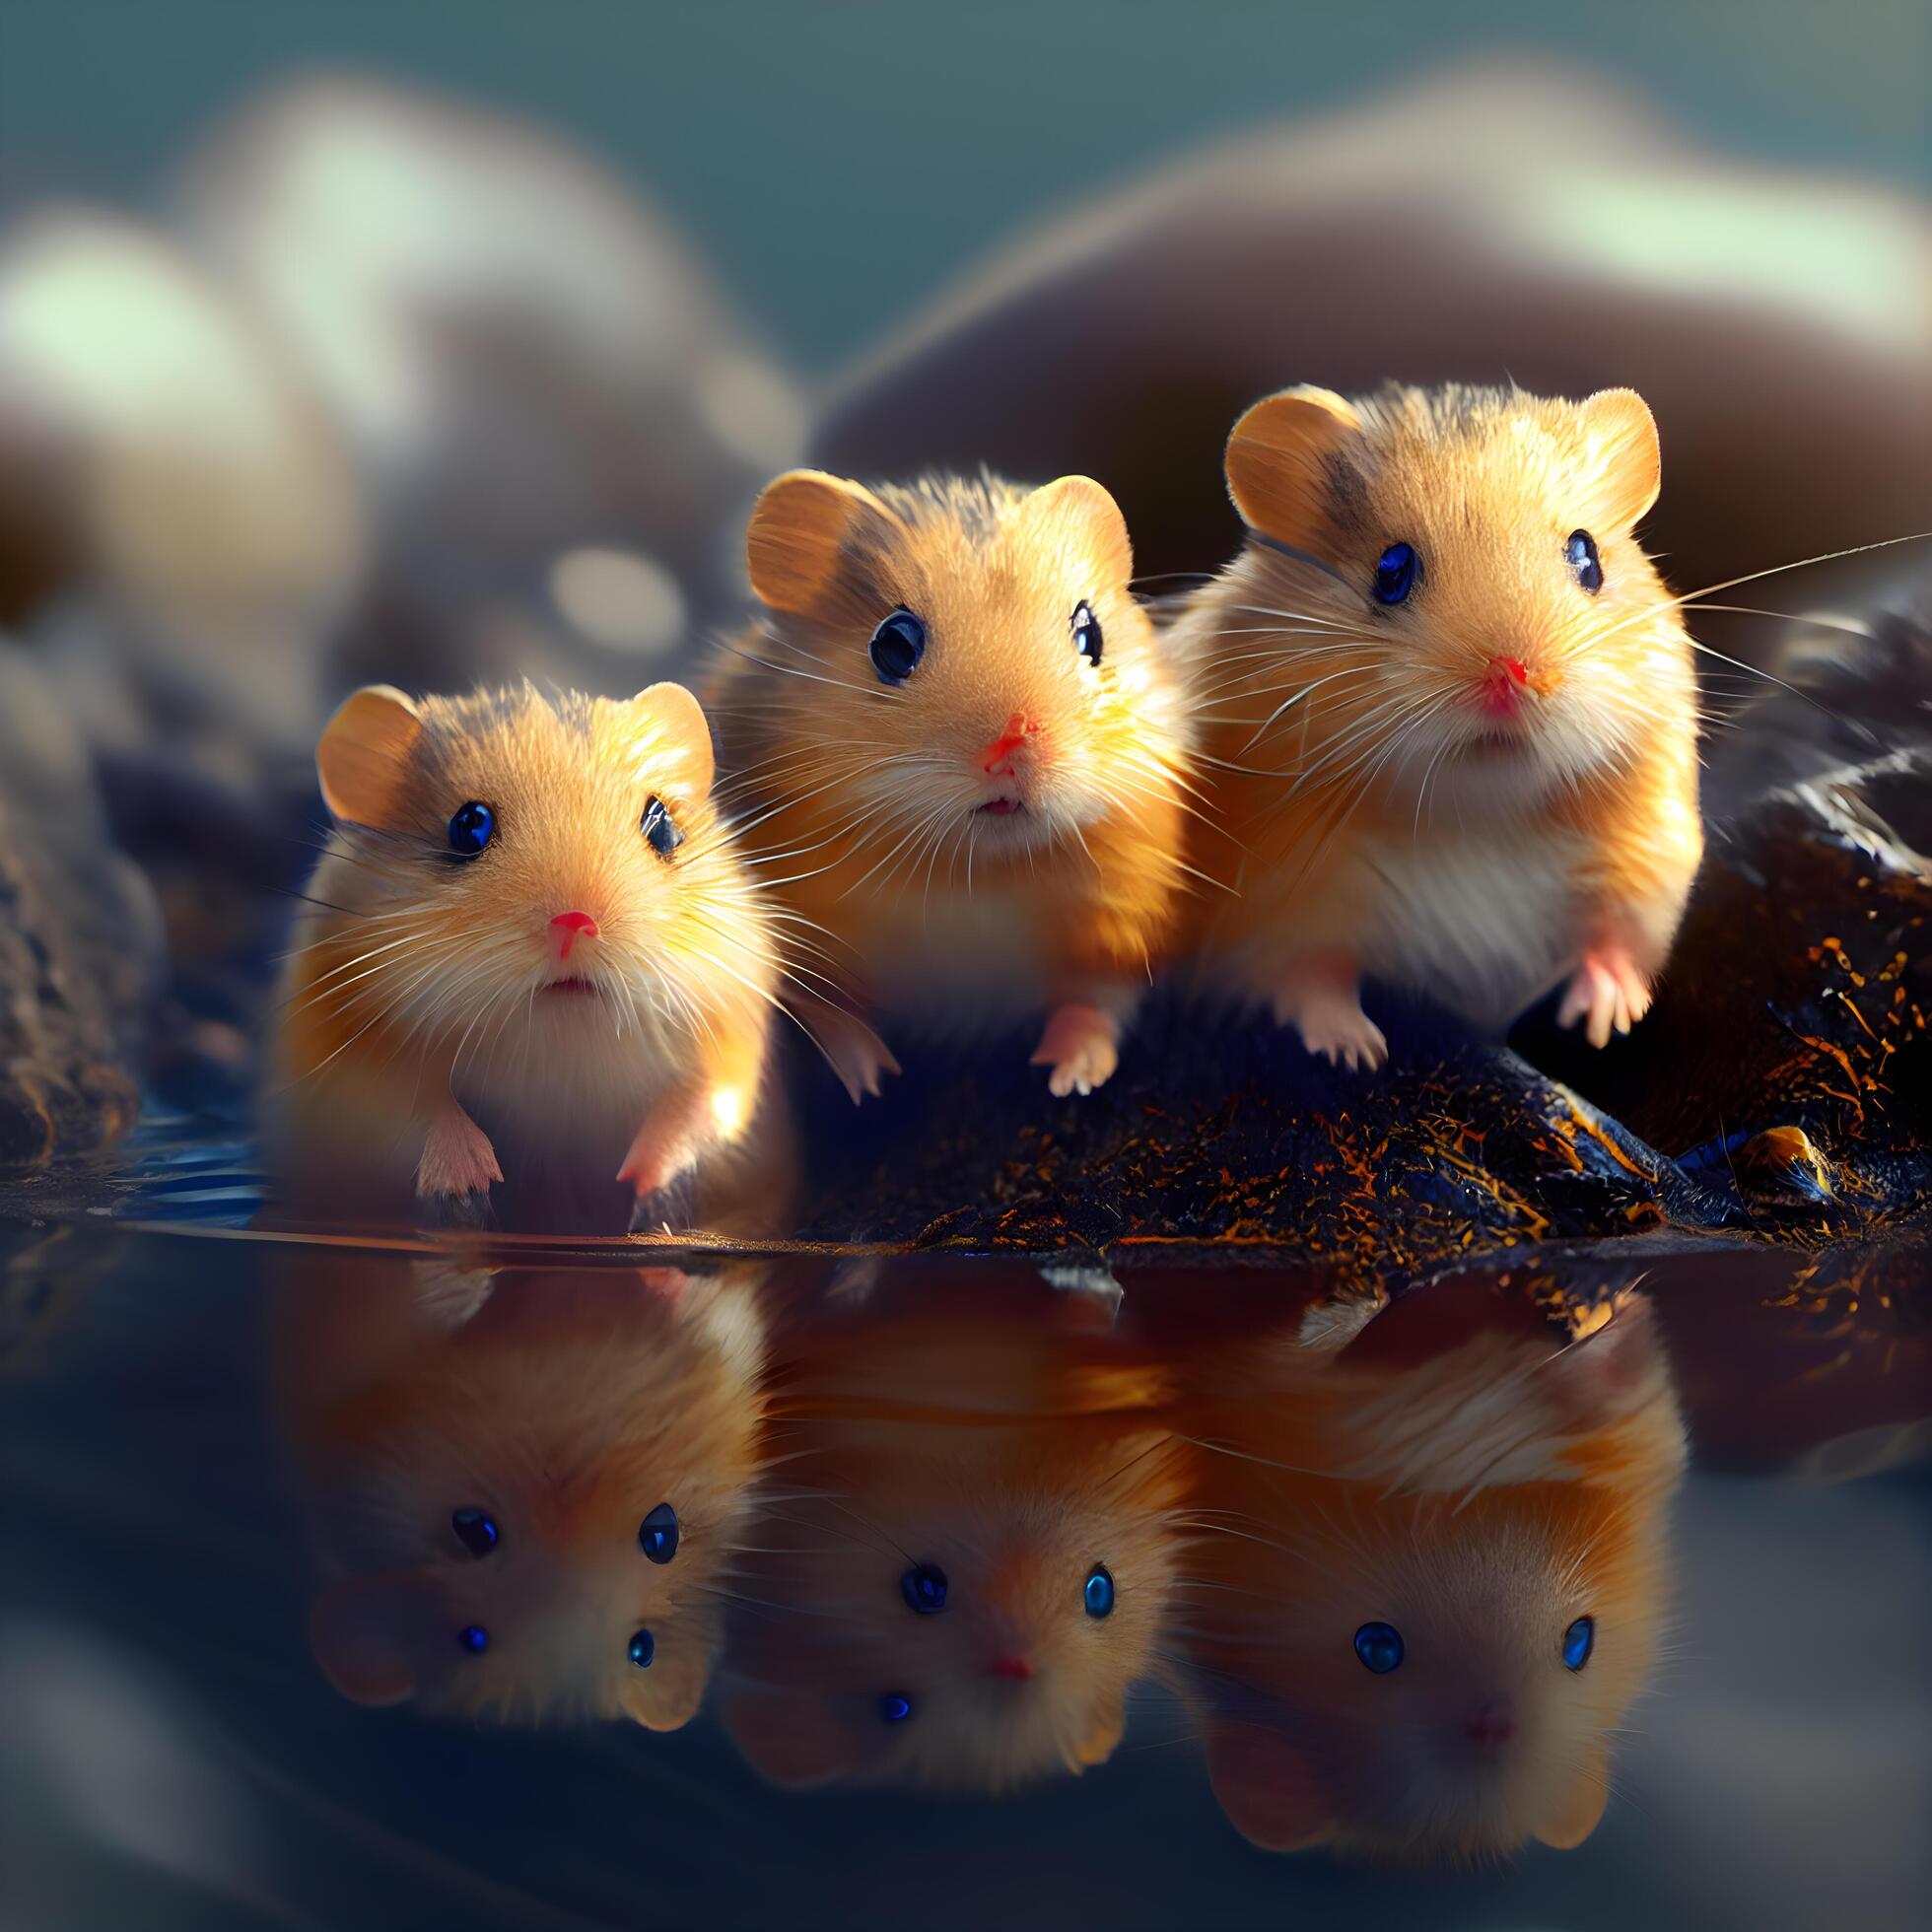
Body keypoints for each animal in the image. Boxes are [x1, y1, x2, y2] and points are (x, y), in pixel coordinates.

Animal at [270, 679, 788, 1233]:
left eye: (663, 827)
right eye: (468, 827)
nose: (578, 924)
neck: (561, 1047)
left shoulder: (733, 1033)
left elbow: (700, 1102)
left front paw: (650, 1200)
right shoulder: (338, 1055)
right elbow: (417, 1106)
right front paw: (470, 1197)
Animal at [707, 469, 1199, 1100]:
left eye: (1091, 636)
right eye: (894, 644)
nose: (1016, 749)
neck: (976, 872)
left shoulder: (1122, 926)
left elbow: (1095, 1004)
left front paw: (1066, 1080)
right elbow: (830, 1013)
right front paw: (873, 1084)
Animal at [1174, 383, 1703, 1067]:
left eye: (1588, 559)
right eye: (1392, 571)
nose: (1513, 676)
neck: (1473, 811)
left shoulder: (1646, 854)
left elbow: (1618, 943)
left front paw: (1603, 1021)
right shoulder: (1273, 902)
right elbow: (1308, 978)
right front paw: (1360, 1053)